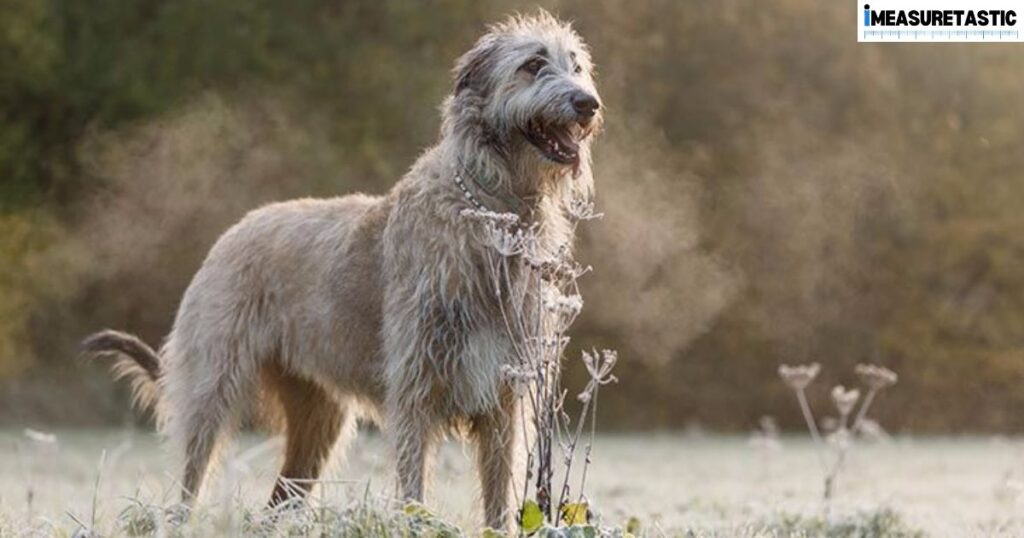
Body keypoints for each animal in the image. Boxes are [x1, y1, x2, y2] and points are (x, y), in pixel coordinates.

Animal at [86, 9, 606, 528]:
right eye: (533, 64)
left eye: (577, 66)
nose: (588, 104)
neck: (494, 213)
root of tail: (230, 234)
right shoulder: (415, 386)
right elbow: (413, 483)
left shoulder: (505, 396)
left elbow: (499, 492)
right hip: (213, 383)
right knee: (193, 471)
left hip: (319, 415)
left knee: (282, 496)